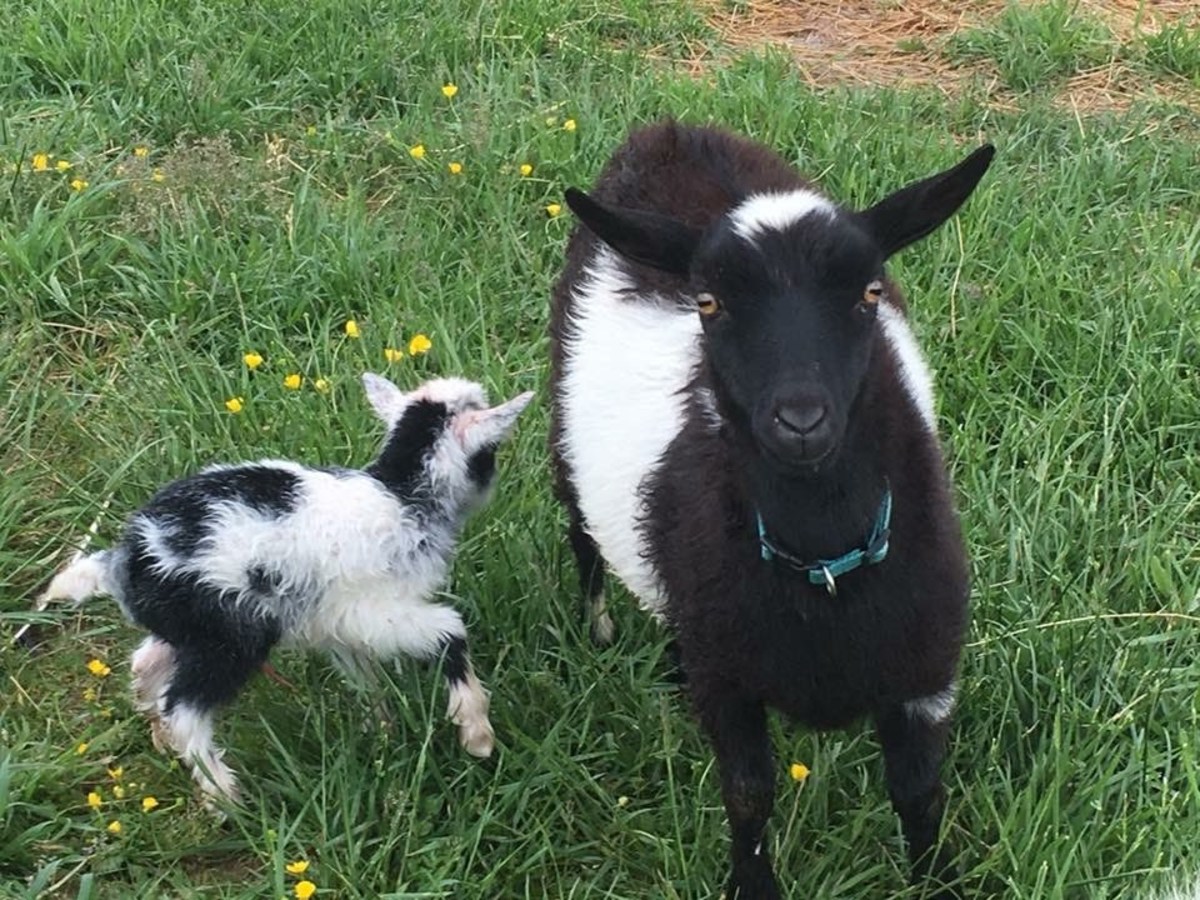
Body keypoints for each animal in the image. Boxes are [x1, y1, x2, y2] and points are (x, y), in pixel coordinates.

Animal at [35, 373, 532, 809]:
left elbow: (365, 676)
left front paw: (382, 733)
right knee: (184, 709)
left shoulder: (335, 620)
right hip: (233, 633)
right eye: (490, 450)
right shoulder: (374, 608)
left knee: (145, 666)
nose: (493, 483)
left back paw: (163, 738)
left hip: (191, 626)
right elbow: (449, 632)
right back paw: (225, 799)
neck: (402, 493)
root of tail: (127, 559)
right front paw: (475, 731)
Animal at [548, 121, 993, 898]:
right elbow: (749, 795)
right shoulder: (730, 686)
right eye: (708, 304)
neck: (824, 563)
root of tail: (671, 133)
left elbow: (919, 794)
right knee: (584, 540)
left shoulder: (927, 672)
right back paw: (600, 630)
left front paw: (935, 879)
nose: (800, 420)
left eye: (869, 292)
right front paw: (752, 885)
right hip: (564, 440)